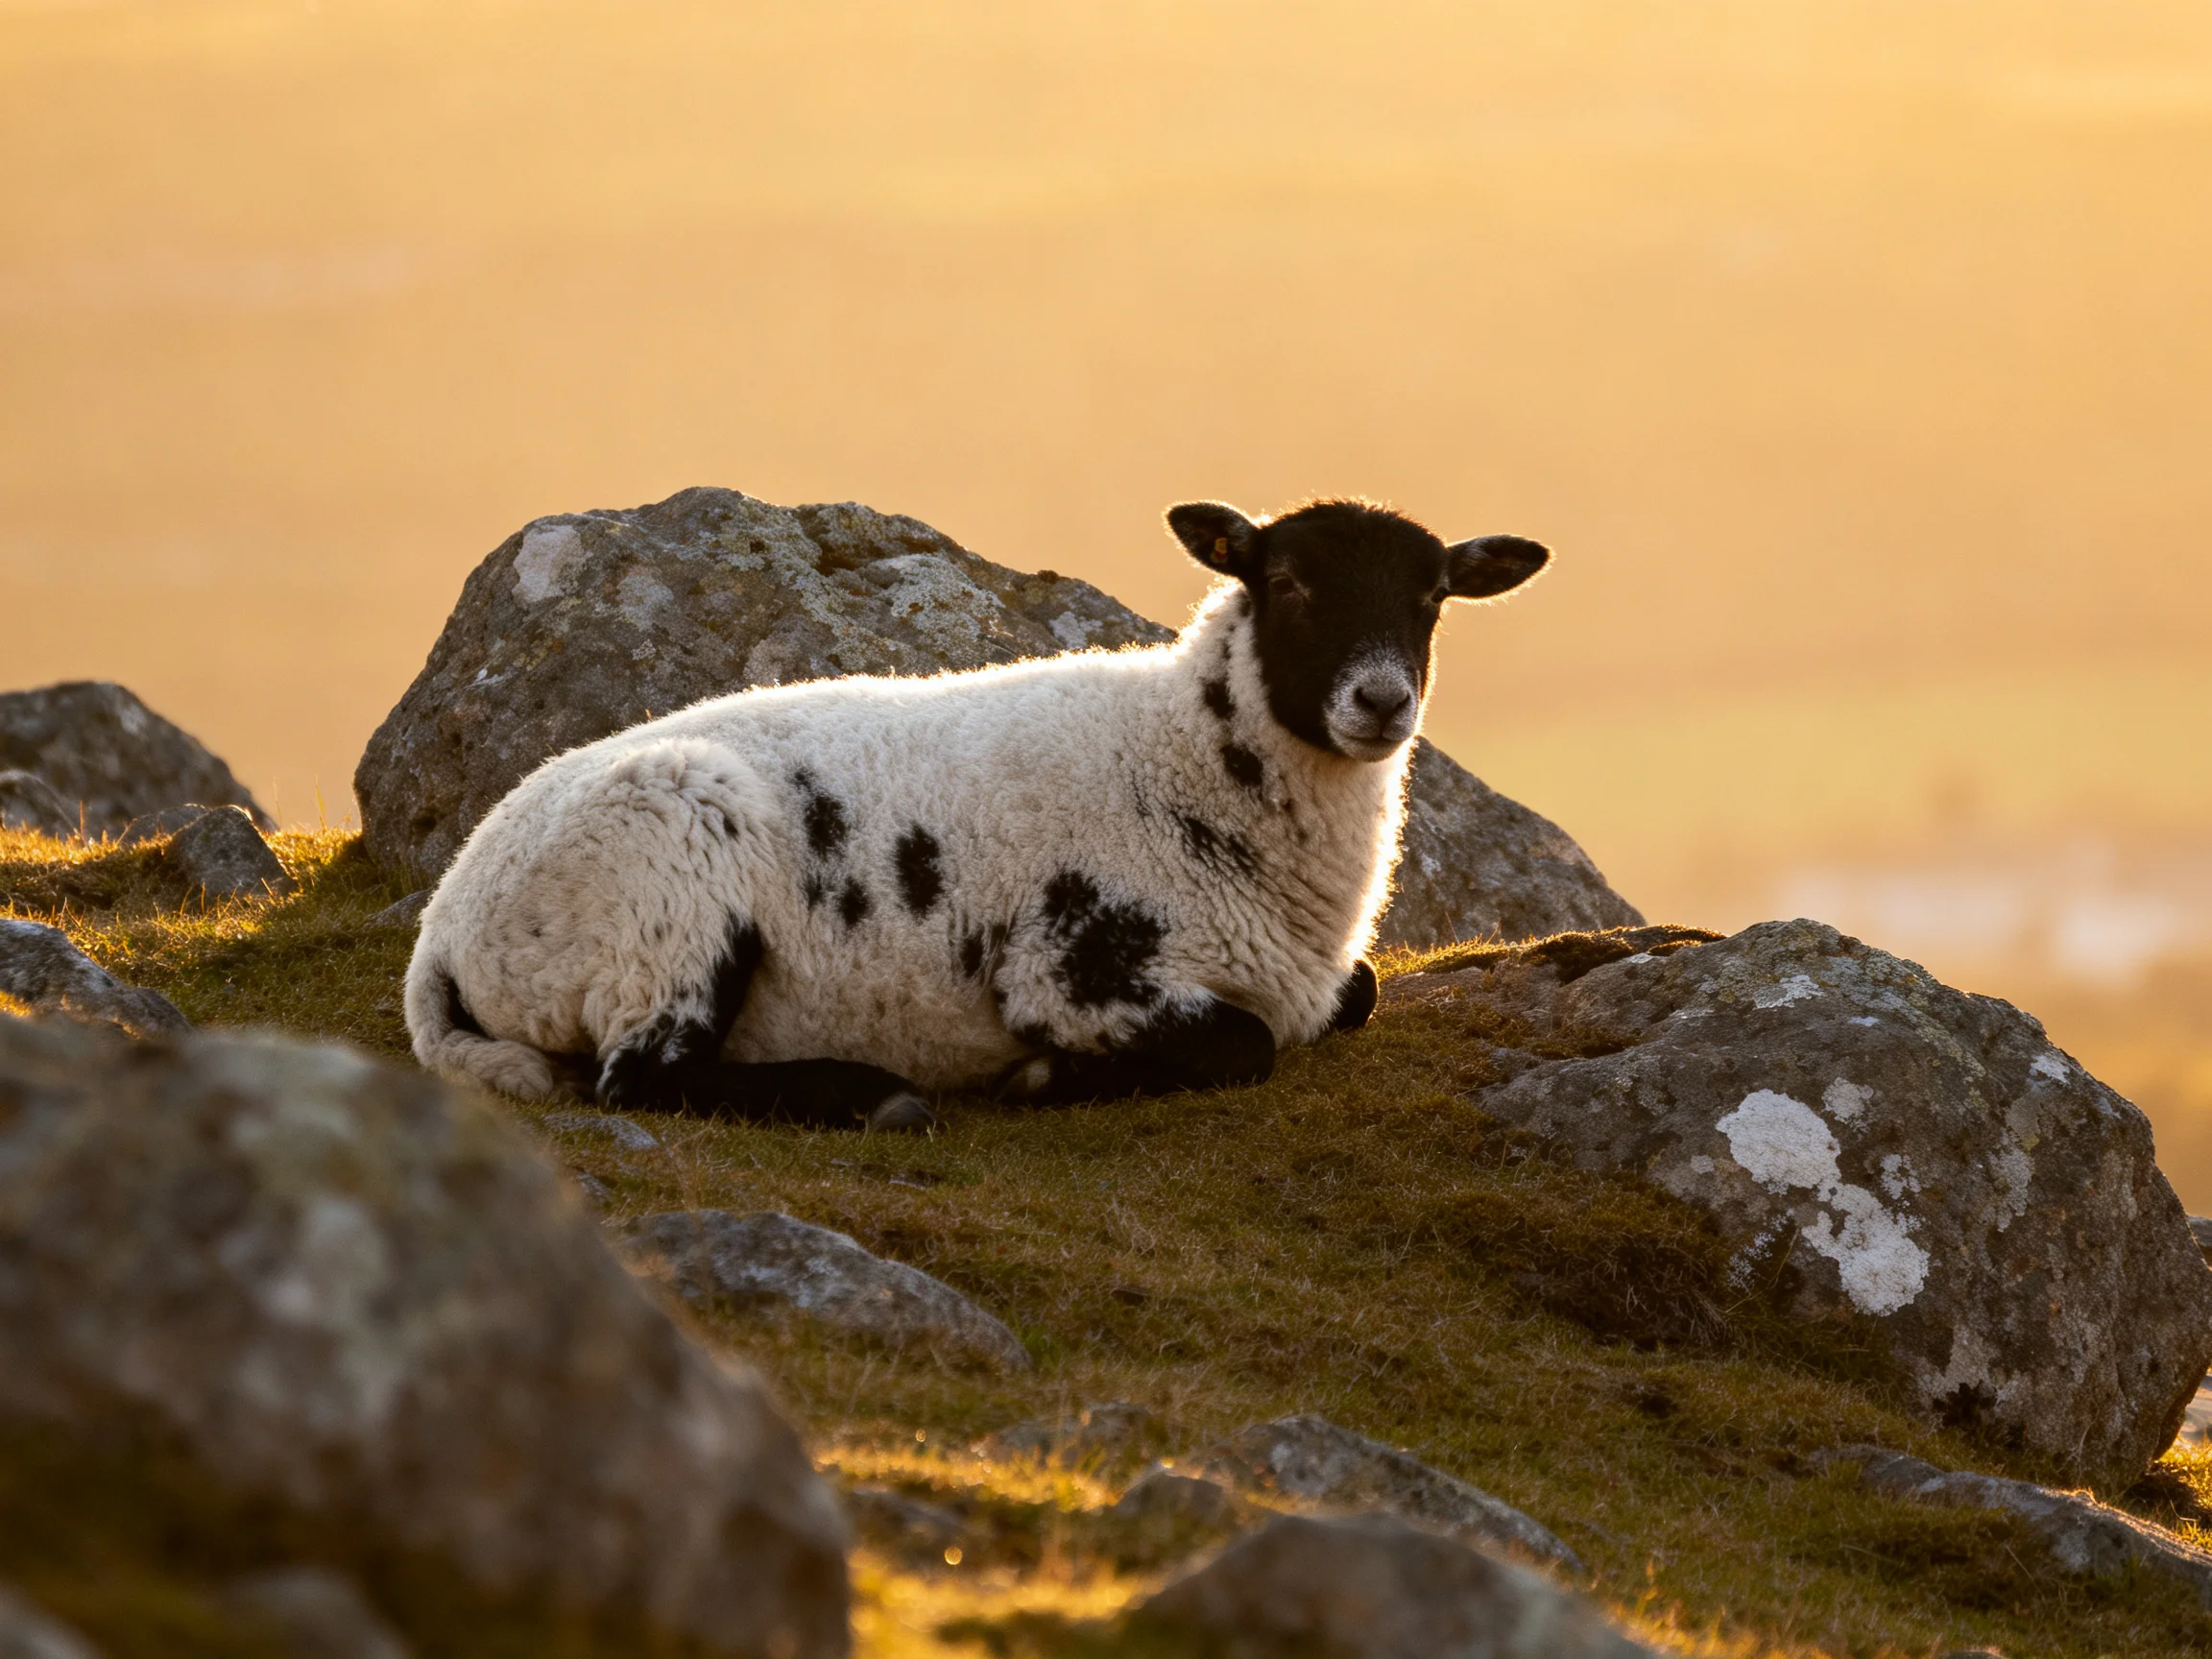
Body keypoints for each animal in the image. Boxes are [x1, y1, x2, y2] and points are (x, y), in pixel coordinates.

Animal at [405, 498, 1549, 1130]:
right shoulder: (1074, 969)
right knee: (644, 1078)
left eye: (1434, 599)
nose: (1382, 702)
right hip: (673, 880)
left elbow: (1356, 996)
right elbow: (1246, 1046)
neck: (1179, 750)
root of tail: (446, 930)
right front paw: (1044, 1079)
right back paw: (872, 1097)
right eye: (1291, 582)